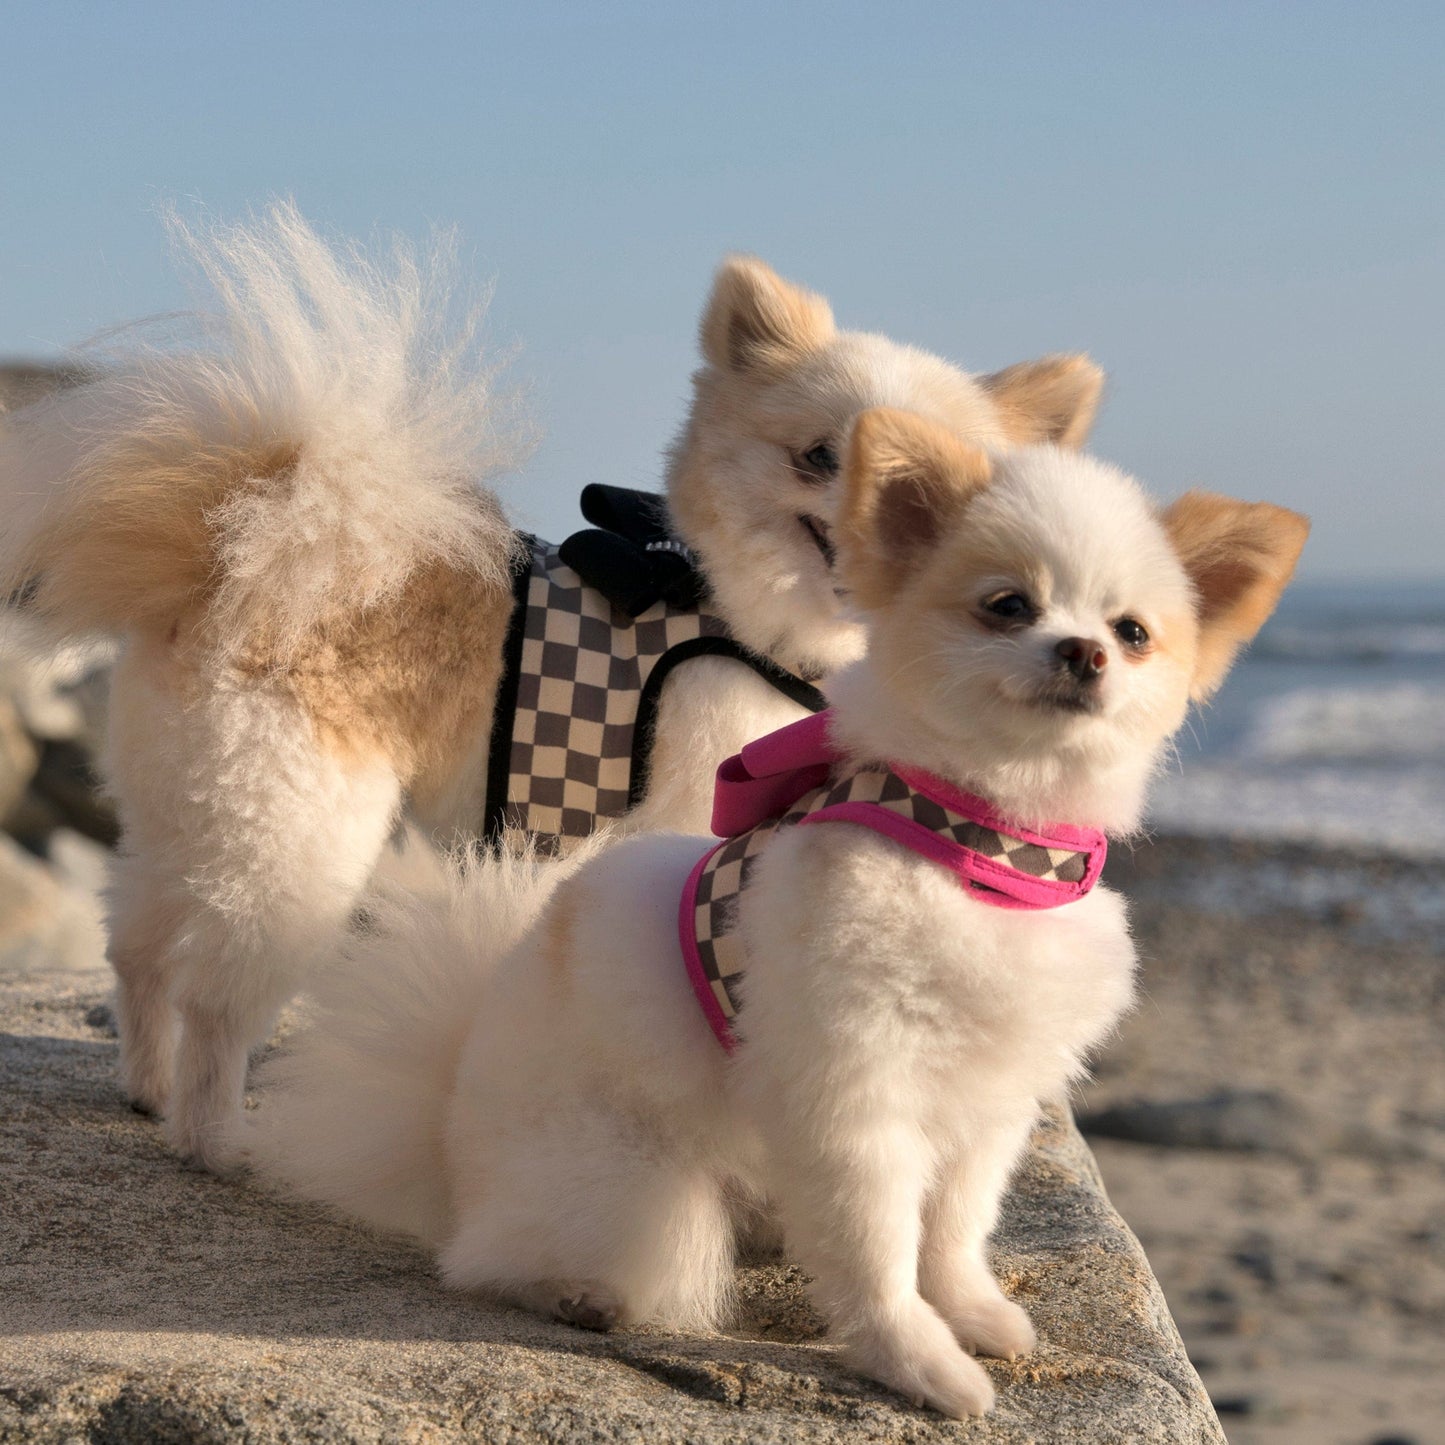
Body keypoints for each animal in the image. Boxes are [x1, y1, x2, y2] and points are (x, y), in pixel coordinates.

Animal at [0, 209, 1098, 1167]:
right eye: (818, 455)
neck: (742, 611)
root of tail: (247, 537)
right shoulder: (688, 804)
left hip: (187, 807)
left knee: (140, 947)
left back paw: (146, 1086)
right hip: (301, 832)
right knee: (221, 996)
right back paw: (219, 1137)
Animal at [245, 410, 1312, 1421]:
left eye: (1132, 632)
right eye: (1007, 604)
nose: (1083, 651)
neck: (982, 852)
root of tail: (444, 1134)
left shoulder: (990, 1098)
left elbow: (954, 1228)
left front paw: (969, 1311)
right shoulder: (851, 1089)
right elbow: (879, 1249)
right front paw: (917, 1361)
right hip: (644, 1196)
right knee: (499, 1260)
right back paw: (575, 1291)